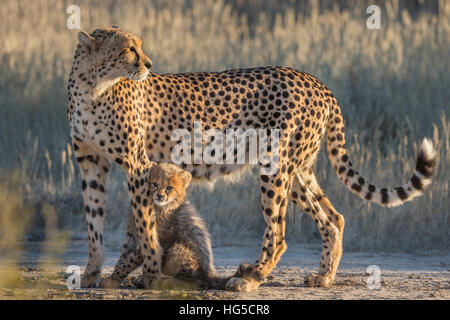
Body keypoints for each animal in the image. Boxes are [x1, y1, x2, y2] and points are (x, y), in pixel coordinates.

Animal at [67, 27, 436, 292]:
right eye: (129, 48)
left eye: (139, 46)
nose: (148, 64)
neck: (92, 86)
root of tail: (316, 81)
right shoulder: (91, 161)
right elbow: (93, 223)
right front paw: (91, 273)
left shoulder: (137, 164)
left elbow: (144, 225)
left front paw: (151, 273)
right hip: (297, 171)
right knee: (333, 218)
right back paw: (323, 277)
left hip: (276, 167)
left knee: (279, 232)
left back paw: (250, 278)